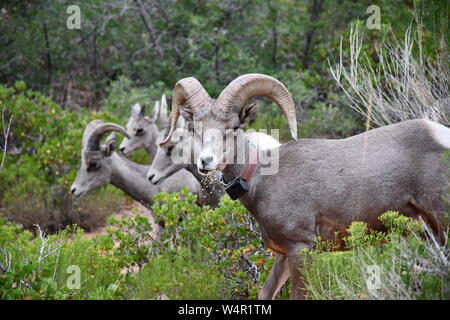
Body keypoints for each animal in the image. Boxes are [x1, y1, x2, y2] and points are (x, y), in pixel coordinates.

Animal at [162, 74, 450, 298]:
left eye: (232, 128)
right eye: (195, 128)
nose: (205, 162)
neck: (261, 179)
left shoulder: (301, 249)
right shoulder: (282, 255)